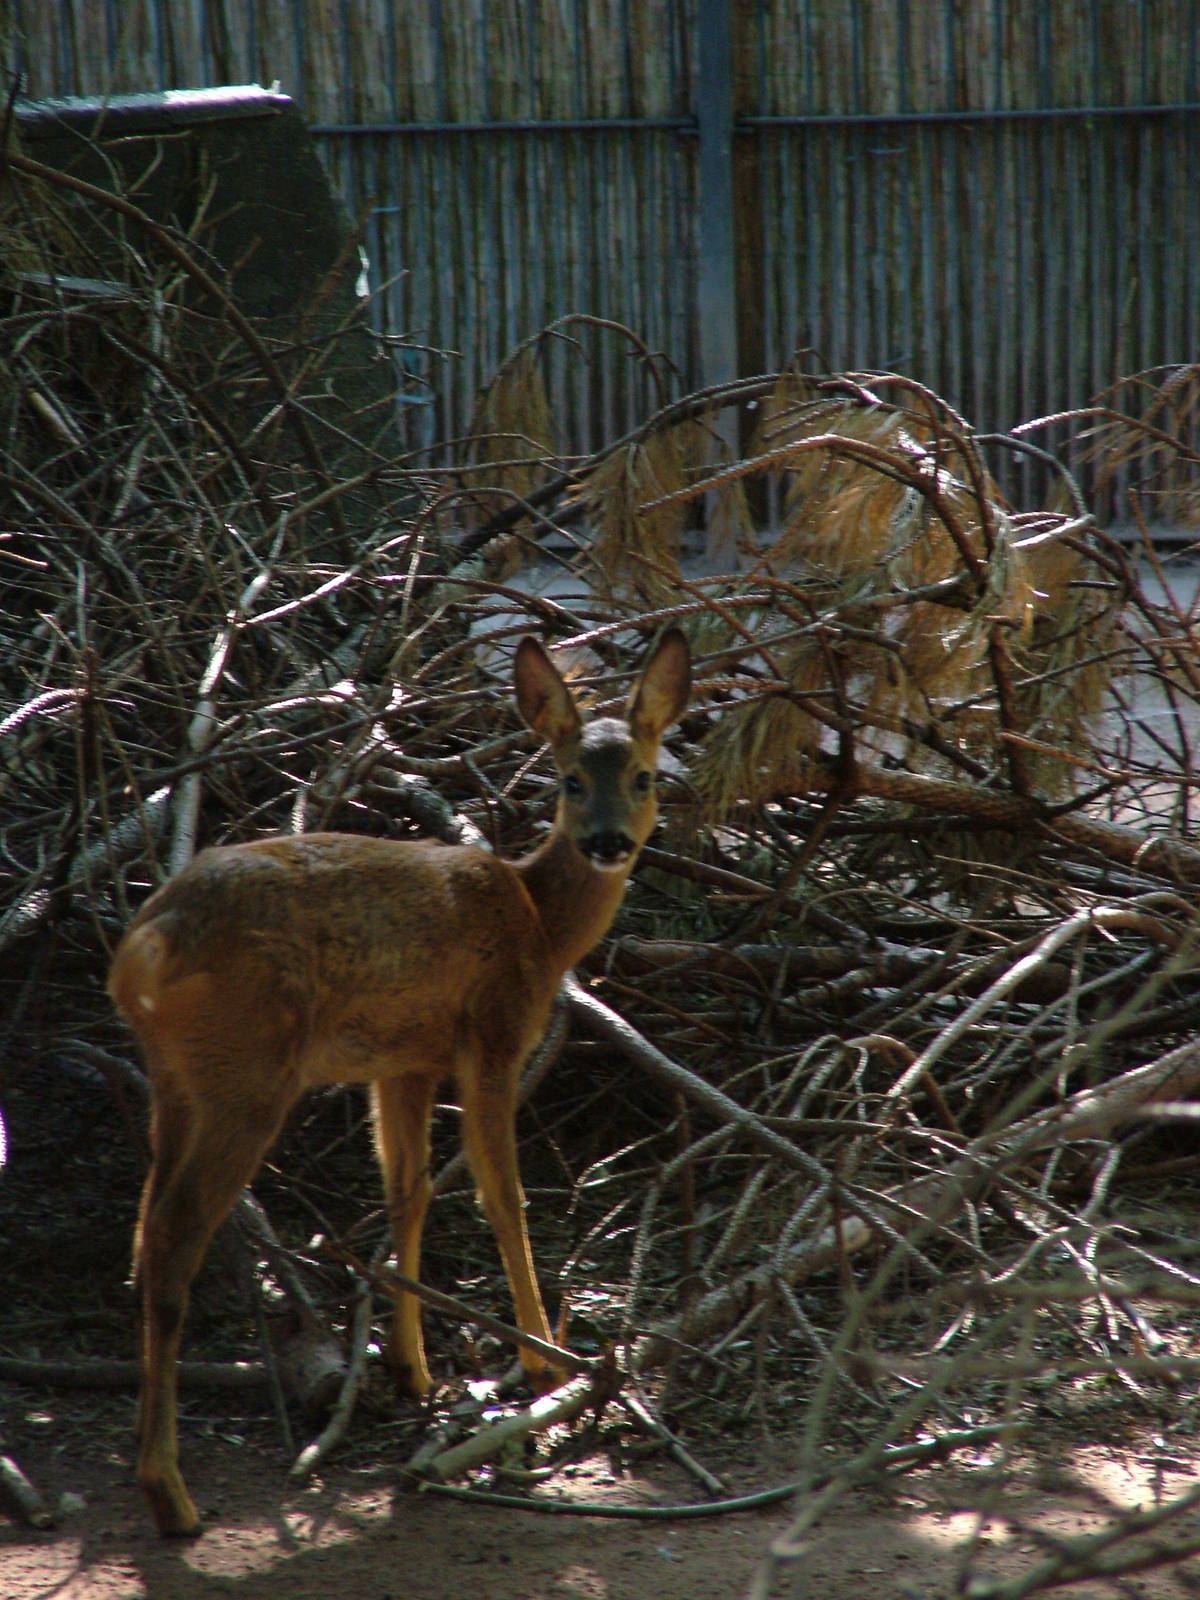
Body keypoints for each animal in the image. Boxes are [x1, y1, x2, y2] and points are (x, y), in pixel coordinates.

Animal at [108, 628, 691, 1536]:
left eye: (644, 776)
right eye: (568, 779)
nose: (608, 842)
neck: (537, 922)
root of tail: (144, 946)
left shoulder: (404, 1060)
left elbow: (407, 1193)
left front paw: (415, 1369)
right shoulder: (492, 1034)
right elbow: (502, 1196)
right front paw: (543, 1361)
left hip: (176, 1079)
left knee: (143, 1233)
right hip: (248, 1069)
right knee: (172, 1240)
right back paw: (171, 1495)